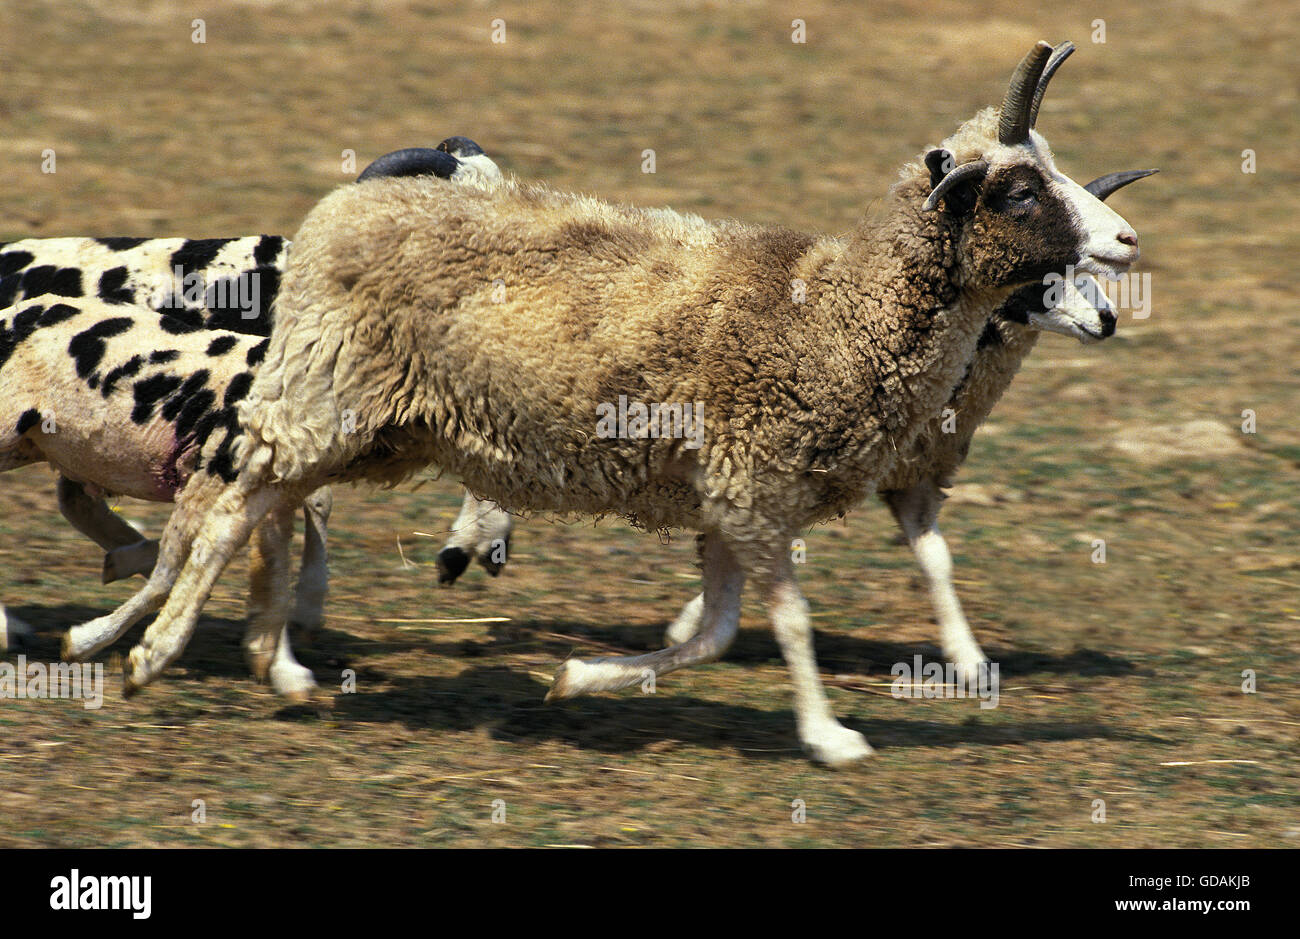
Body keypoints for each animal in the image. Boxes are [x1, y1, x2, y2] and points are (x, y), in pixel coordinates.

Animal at [65, 40, 1144, 764]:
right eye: (1019, 190)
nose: (1128, 243)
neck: (840, 310)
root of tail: (346, 204)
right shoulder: (755, 486)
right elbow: (787, 623)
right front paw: (830, 737)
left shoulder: (733, 497)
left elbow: (714, 633)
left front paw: (581, 677)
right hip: (326, 397)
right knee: (224, 507)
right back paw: (147, 651)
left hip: (368, 424)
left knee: (266, 507)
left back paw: (263, 659)